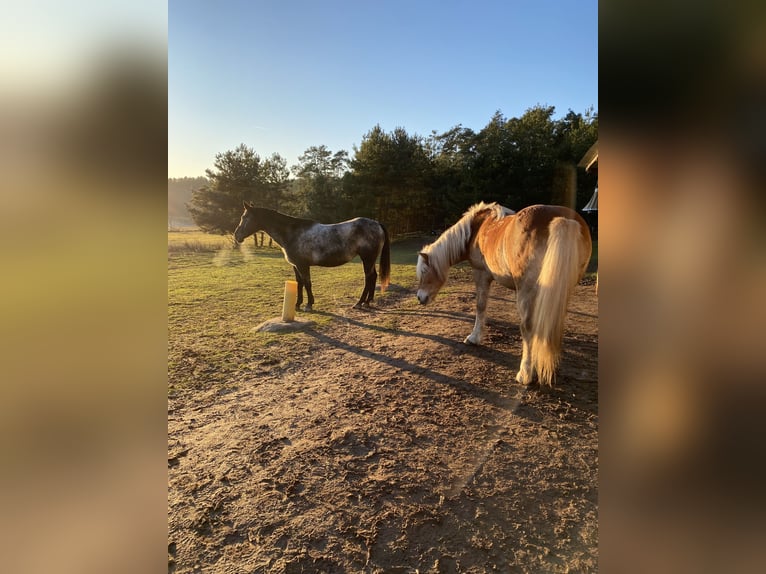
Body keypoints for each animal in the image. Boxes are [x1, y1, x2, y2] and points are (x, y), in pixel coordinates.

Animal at [232, 202, 390, 310]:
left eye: (245, 217)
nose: (236, 235)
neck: (292, 233)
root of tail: (376, 223)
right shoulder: (296, 266)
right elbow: (300, 283)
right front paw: (297, 304)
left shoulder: (303, 265)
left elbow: (307, 283)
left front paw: (308, 305)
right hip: (369, 260)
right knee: (373, 277)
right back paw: (368, 302)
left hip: (367, 259)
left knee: (368, 278)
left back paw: (359, 302)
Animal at [420, 202, 592, 388]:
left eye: (424, 271)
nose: (420, 298)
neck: (476, 228)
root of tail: (562, 219)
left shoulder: (481, 274)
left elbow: (480, 306)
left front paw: (474, 338)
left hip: (527, 291)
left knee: (528, 327)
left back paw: (525, 373)